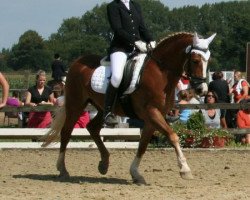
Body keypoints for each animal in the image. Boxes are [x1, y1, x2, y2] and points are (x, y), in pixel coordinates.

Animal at [42, 32, 216, 184]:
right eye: (195, 60)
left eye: (209, 61)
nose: (202, 90)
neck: (160, 73)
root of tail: (77, 62)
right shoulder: (152, 113)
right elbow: (173, 136)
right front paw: (185, 170)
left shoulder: (152, 118)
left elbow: (143, 144)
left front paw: (135, 174)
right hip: (76, 104)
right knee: (66, 132)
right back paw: (62, 169)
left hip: (100, 107)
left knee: (92, 127)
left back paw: (104, 163)